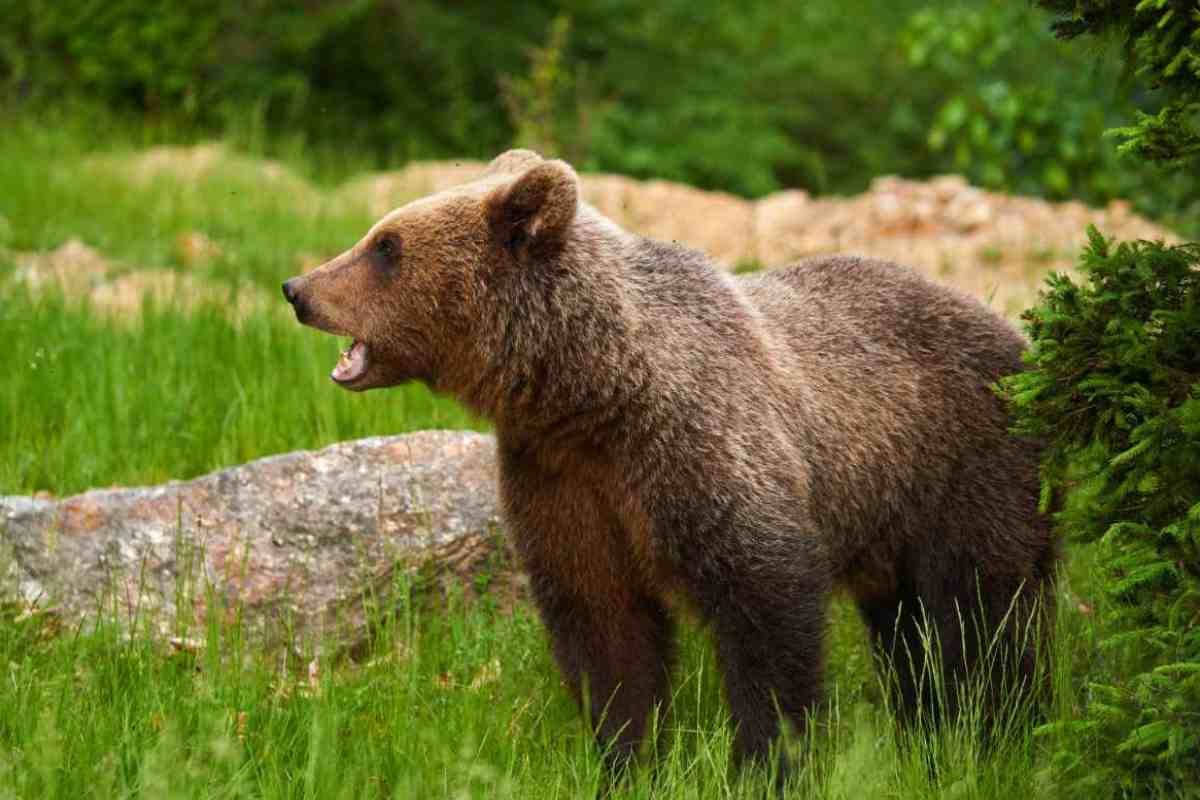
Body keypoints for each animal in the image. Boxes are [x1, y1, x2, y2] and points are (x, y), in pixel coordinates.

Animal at [282, 149, 1057, 778]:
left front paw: (765, 761)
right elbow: (602, 624)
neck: (593, 393)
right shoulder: (558, 479)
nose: (299, 289)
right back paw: (928, 722)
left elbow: (765, 610)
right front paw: (626, 756)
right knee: (907, 627)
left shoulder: (702, 447)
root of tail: (1019, 339)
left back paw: (998, 727)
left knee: (985, 615)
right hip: (893, 516)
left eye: (387, 245)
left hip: (967, 467)